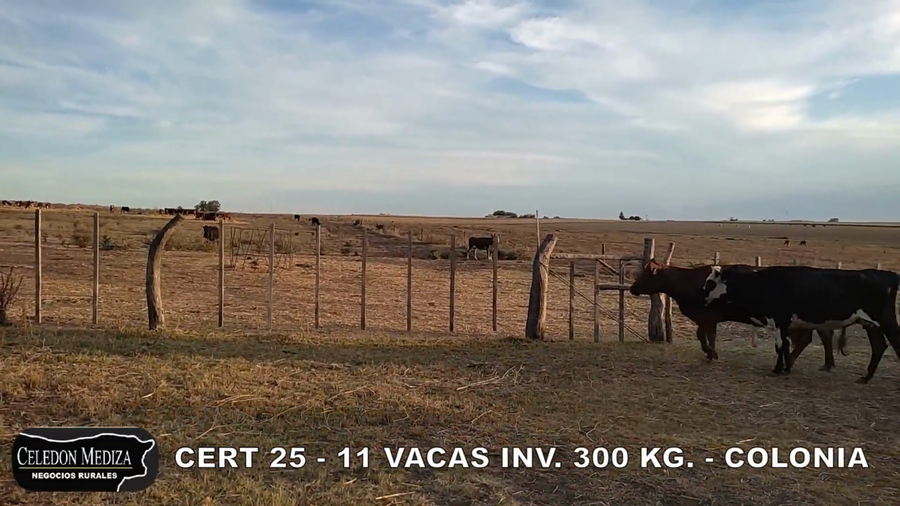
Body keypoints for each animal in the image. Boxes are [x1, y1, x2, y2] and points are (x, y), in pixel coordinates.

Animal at [629, 260, 843, 372]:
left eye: (645, 275)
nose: (631, 288)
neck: (692, 282)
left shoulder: (707, 317)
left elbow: (702, 335)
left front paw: (711, 353)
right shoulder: (710, 320)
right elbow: (709, 335)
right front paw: (711, 354)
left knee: (813, 338)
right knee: (814, 338)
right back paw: (820, 364)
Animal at [700, 264, 900, 382]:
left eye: (710, 283)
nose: (702, 295)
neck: (763, 283)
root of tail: (887, 274)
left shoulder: (780, 321)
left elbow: (781, 345)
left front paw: (778, 369)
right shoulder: (783, 324)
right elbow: (784, 345)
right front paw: (785, 368)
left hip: (886, 320)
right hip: (870, 324)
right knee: (879, 346)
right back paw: (866, 377)